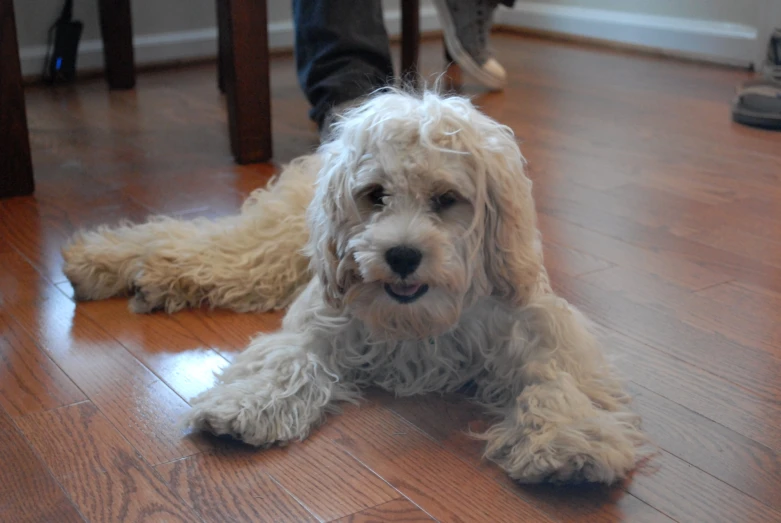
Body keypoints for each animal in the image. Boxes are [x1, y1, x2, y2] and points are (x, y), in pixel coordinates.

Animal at [62, 89, 644, 484]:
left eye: (446, 199)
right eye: (375, 195)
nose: (402, 255)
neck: (422, 320)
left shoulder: (536, 325)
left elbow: (555, 376)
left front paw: (569, 442)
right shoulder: (323, 317)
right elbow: (288, 358)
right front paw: (247, 406)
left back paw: (136, 276)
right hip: (273, 249)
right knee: (192, 240)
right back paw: (96, 262)